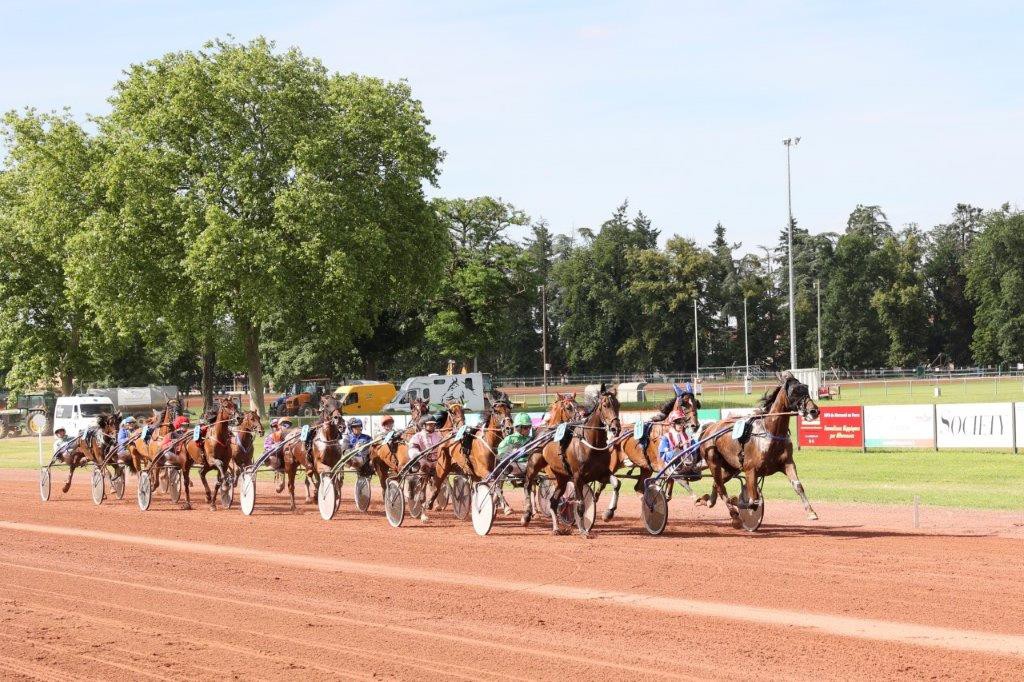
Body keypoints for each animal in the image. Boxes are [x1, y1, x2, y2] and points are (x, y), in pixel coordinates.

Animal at [598, 387, 704, 520]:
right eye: (684, 405)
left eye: (696, 404)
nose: (696, 425)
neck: (665, 431)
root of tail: (614, 434)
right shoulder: (663, 464)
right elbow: (679, 478)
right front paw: (697, 498)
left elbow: (671, 482)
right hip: (613, 463)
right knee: (602, 483)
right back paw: (606, 510)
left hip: (645, 468)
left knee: (638, 487)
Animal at [692, 372, 819, 524]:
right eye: (794, 391)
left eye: (806, 388)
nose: (814, 411)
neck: (770, 432)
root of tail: (709, 428)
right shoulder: (750, 470)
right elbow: (753, 501)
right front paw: (740, 503)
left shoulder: (787, 463)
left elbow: (798, 486)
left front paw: (811, 512)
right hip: (713, 461)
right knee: (722, 488)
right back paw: (733, 513)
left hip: (730, 468)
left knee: (717, 484)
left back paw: (707, 501)